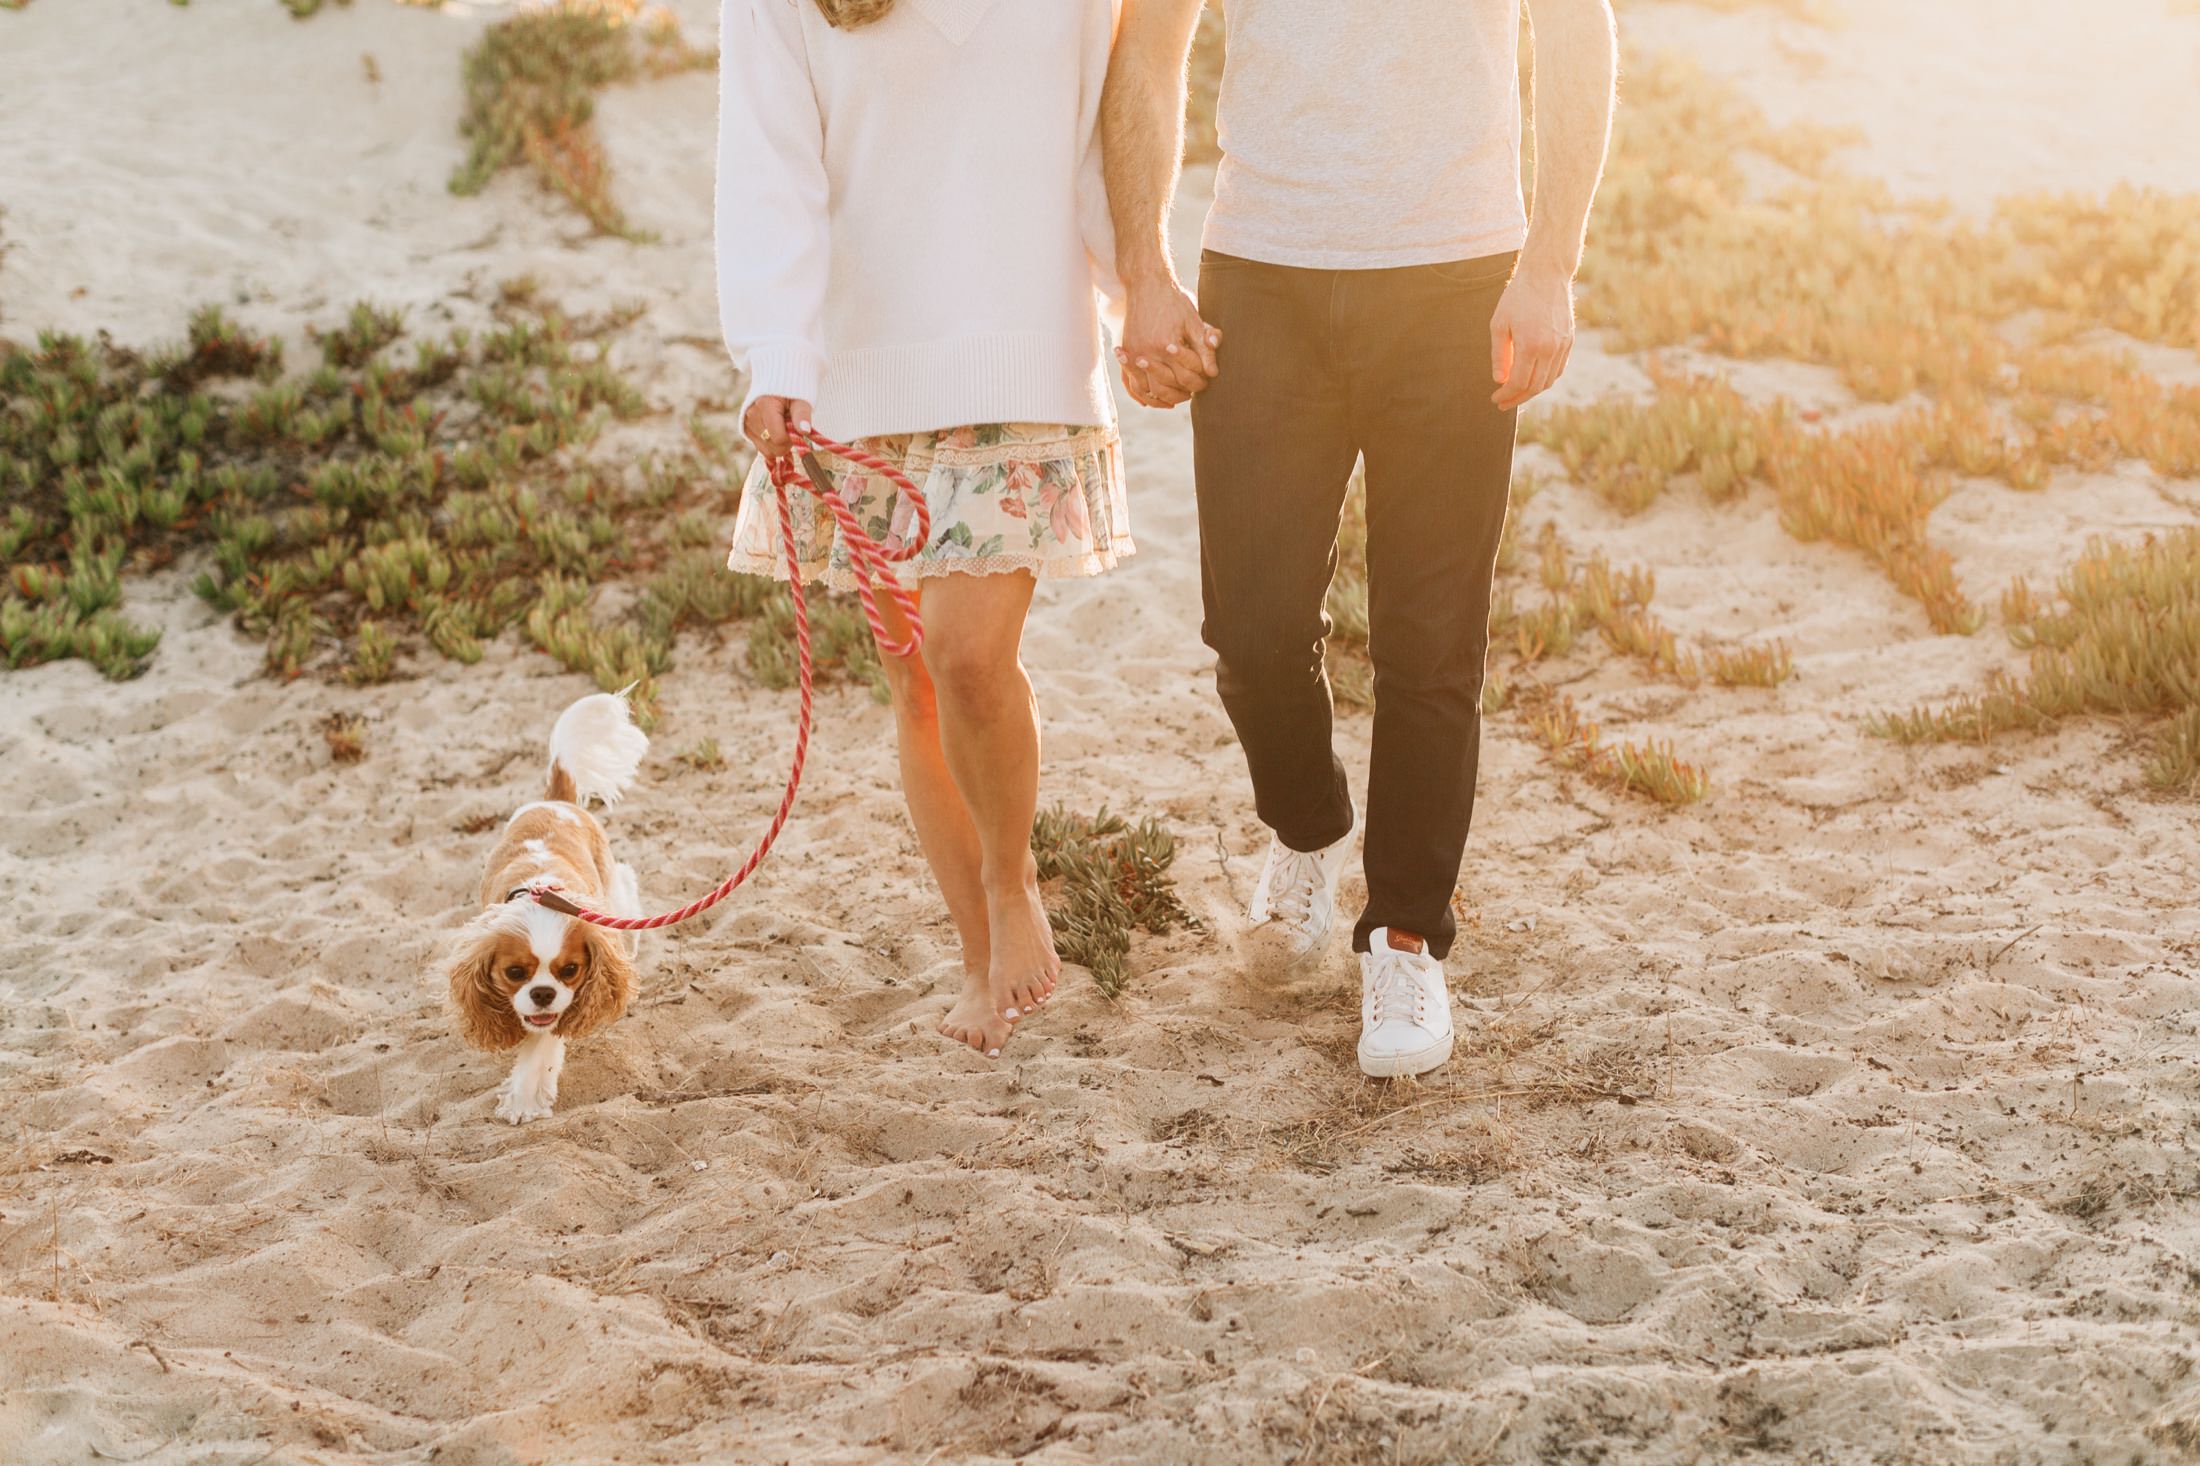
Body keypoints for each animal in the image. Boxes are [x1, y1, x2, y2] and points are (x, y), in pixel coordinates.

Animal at [442, 691, 646, 1122]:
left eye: (569, 971)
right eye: (515, 973)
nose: (542, 994)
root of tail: (555, 802)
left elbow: (541, 1046)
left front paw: (524, 1098)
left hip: (606, 878)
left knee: (623, 885)